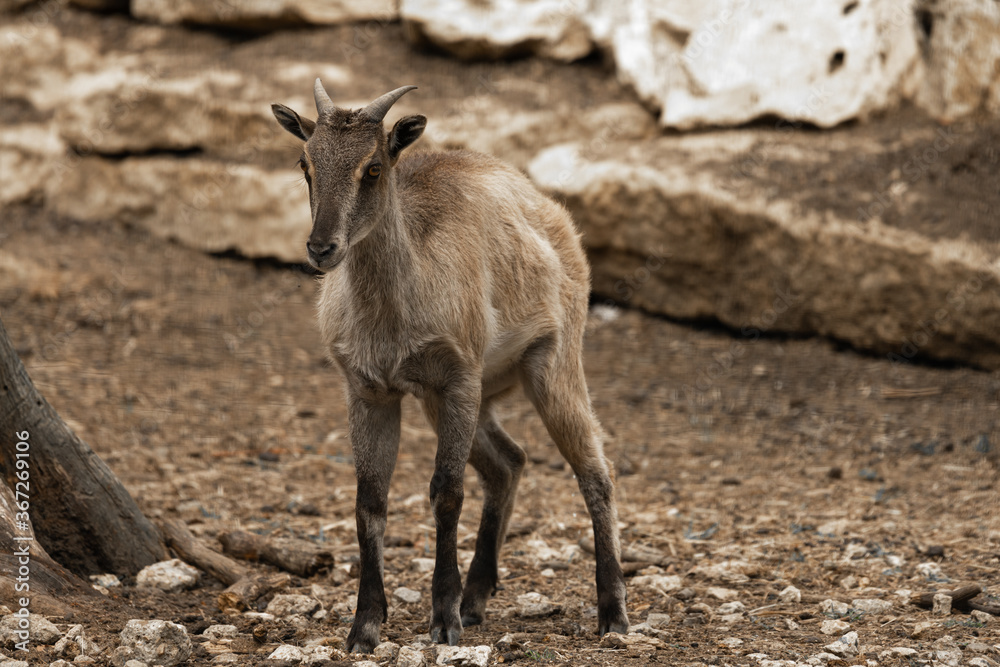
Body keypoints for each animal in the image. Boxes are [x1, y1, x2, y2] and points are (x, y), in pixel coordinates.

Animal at [272, 79, 624, 652]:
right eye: (305, 162)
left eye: (373, 167)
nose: (322, 248)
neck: (395, 320)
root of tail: (555, 216)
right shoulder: (369, 390)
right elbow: (369, 502)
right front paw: (364, 627)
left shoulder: (459, 378)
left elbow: (446, 492)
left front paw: (442, 620)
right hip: (454, 398)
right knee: (509, 461)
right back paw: (478, 595)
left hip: (550, 364)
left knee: (595, 469)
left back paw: (612, 612)